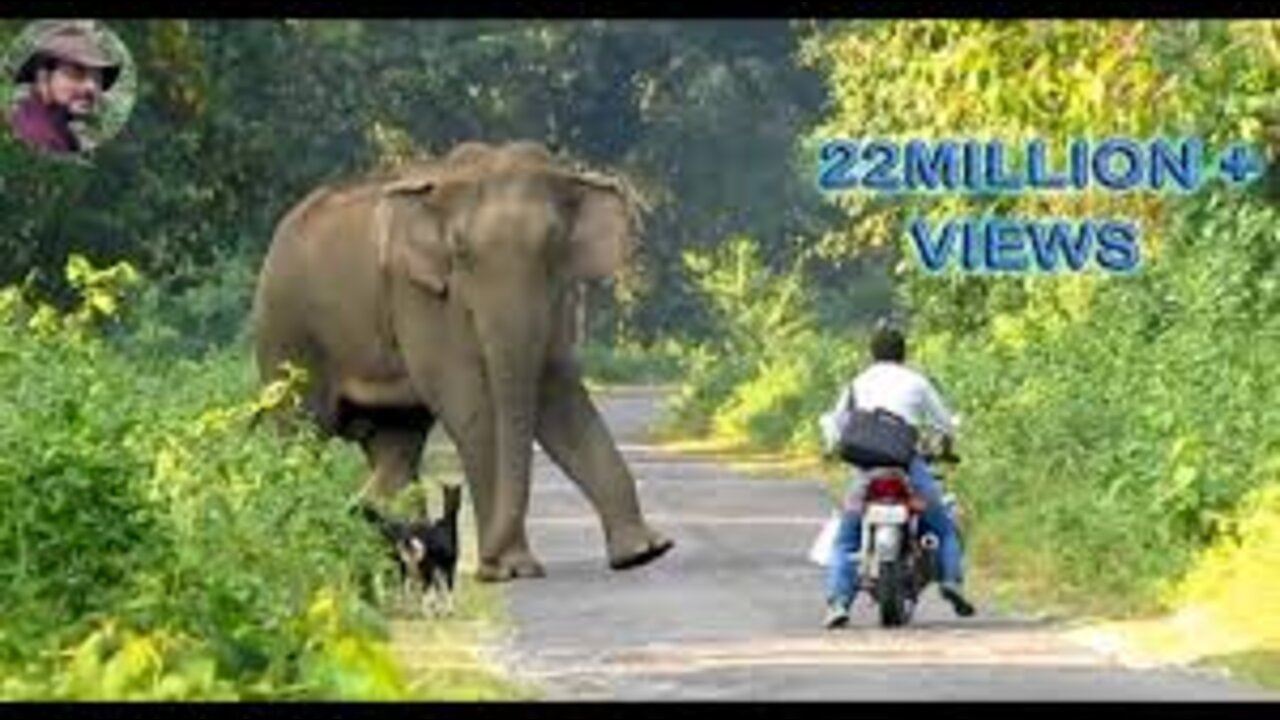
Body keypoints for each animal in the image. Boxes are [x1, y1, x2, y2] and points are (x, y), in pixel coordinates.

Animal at [244, 141, 675, 584]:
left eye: (554, 244)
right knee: (302, 432)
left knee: (396, 443)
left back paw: (384, 539)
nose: (486, 565)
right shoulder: (419, 294)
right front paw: (511, 569)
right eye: (461, 252)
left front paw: (644, 552)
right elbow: (470, 404)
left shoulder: (557, 294)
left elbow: (558, 394)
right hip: (285, 331)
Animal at [358, 481, 463, 609]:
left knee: (402, 582)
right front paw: (448, 609)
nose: (456, 505)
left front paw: (439, 606)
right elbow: (448, 587)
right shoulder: (450, 563)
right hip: (418, 563)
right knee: (418, 586)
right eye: (455, 495)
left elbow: (439, 589)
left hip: (400, 560)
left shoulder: (439, 565)